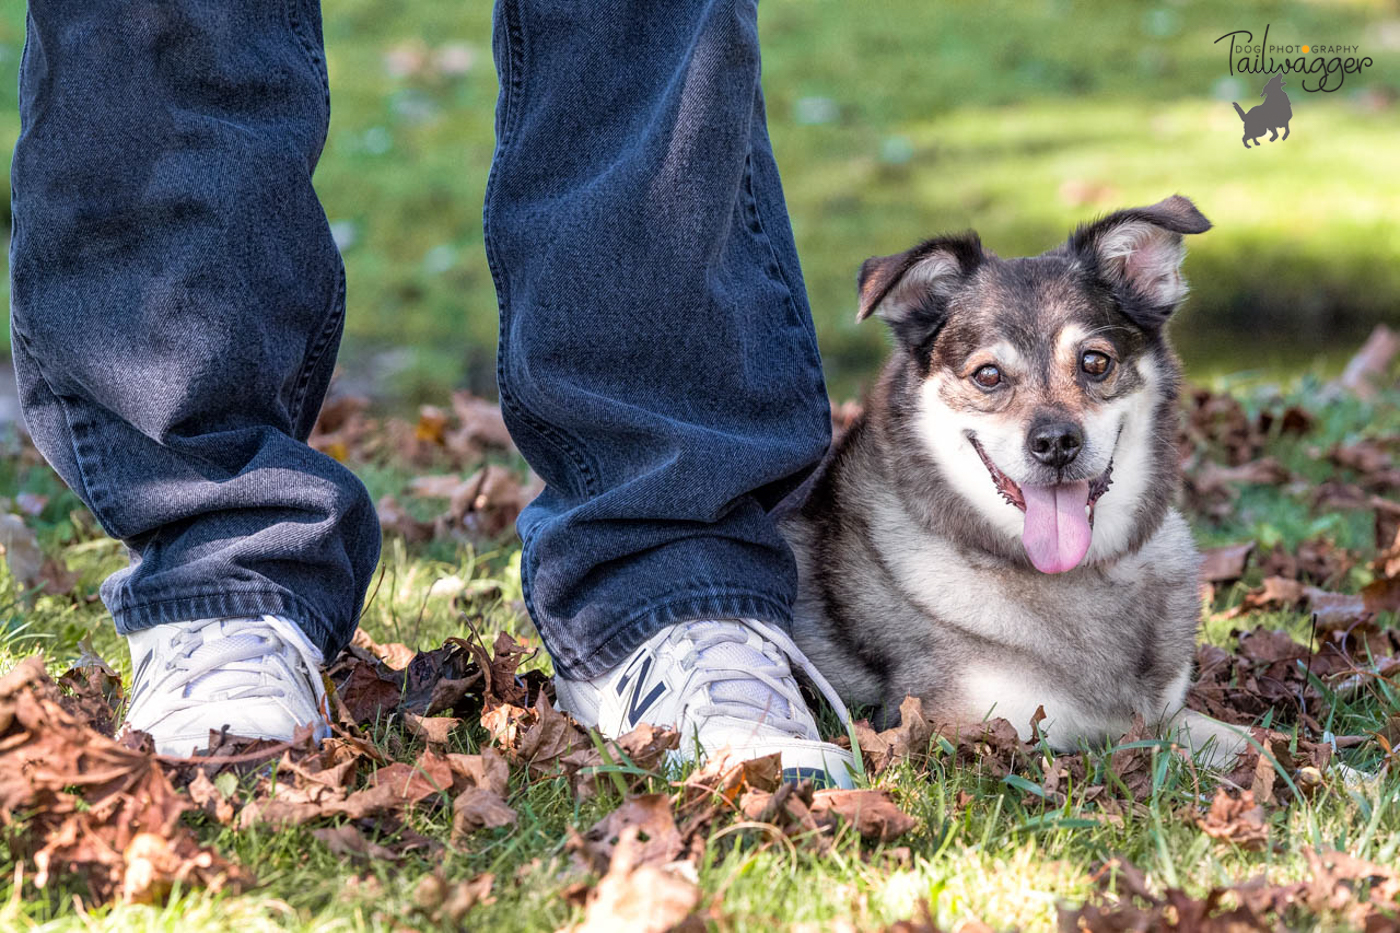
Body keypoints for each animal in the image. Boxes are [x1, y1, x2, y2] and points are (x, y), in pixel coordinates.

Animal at [784, 196, 1254, 762]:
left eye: (1095, 362)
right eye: (988, 375)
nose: (1055, 444)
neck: (1078, 573)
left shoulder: (1166, 712)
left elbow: (1252, 744)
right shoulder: (972, 728)